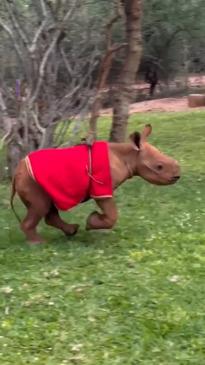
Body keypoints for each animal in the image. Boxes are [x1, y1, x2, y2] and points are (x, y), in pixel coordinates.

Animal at [11, 123, 180, 243]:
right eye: (159, 166)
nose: (177, 176)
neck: (130, 156)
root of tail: (16, 172)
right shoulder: (101, 187)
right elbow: (112, 215)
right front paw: (91, 223)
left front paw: (90, 222)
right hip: (30, 181)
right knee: (40, 206)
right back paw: (39, 243)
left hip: (38, 183)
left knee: (47, 206)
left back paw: (71, 231)